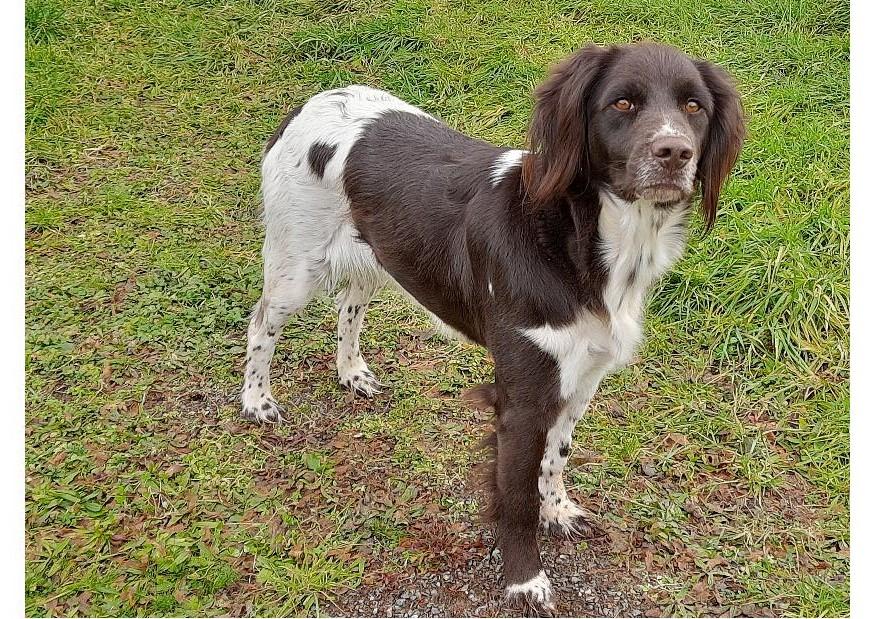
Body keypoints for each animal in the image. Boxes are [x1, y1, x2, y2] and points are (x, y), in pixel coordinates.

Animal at [241, 43, 744, 616]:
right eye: (622, 103)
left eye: (693, 106)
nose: (674, 152)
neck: (578, 239)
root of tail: (310, 102)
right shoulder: (521, 397)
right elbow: (515, 497)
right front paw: (525, 580)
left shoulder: (580, 377)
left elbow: (556, 455)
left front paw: (557, 510)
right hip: (295, 268)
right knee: (260, 325)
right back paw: (256, 401)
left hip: (377, 254)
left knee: (350, 306)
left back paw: (352, 372)